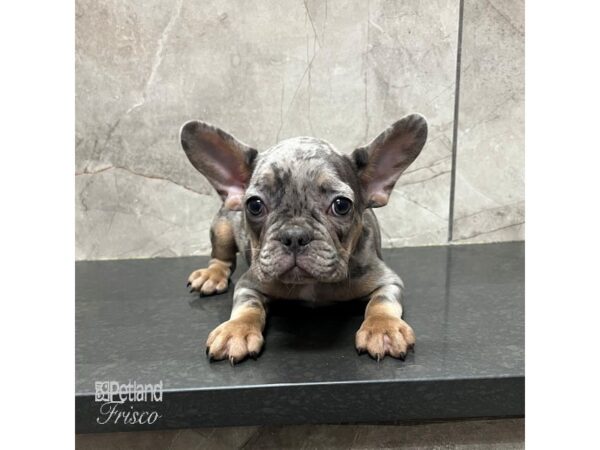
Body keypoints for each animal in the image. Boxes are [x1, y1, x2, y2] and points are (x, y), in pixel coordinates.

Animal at [178, 114, 426, 364]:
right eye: (255, 205)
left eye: (341, 205)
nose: (294, 236)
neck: (312, 284)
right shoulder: (249, 284)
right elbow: (248, 306)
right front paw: (235, 329)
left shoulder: (386, 280)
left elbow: (381, 302)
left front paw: (384, 328)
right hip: (222, 229)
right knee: (221, 257)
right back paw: (211, 275)